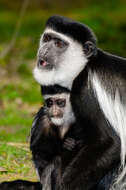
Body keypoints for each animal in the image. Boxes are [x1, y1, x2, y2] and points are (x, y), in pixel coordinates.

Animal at [33, 15, 126, 190]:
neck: (85, 66)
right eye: (47, 38)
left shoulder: (84, 89)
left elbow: (109, 142)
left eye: (59, 43)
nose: (44, 50)